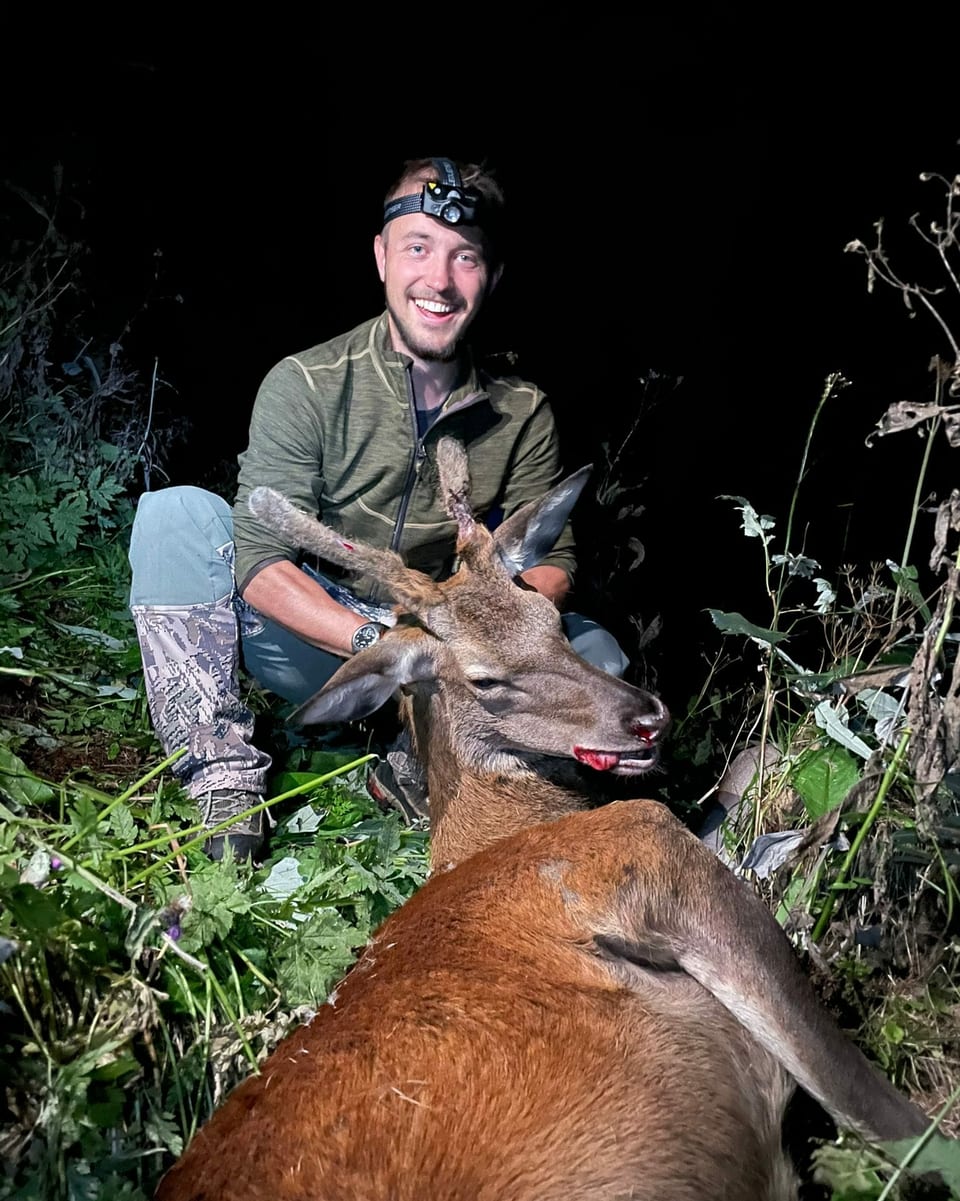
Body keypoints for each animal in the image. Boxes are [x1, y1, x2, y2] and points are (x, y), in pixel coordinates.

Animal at [156, 441, 922, 1201]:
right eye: (485, 678)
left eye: (551, 620)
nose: (647, 717)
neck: (505, 829)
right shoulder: (639, 847)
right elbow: (876, 1105)